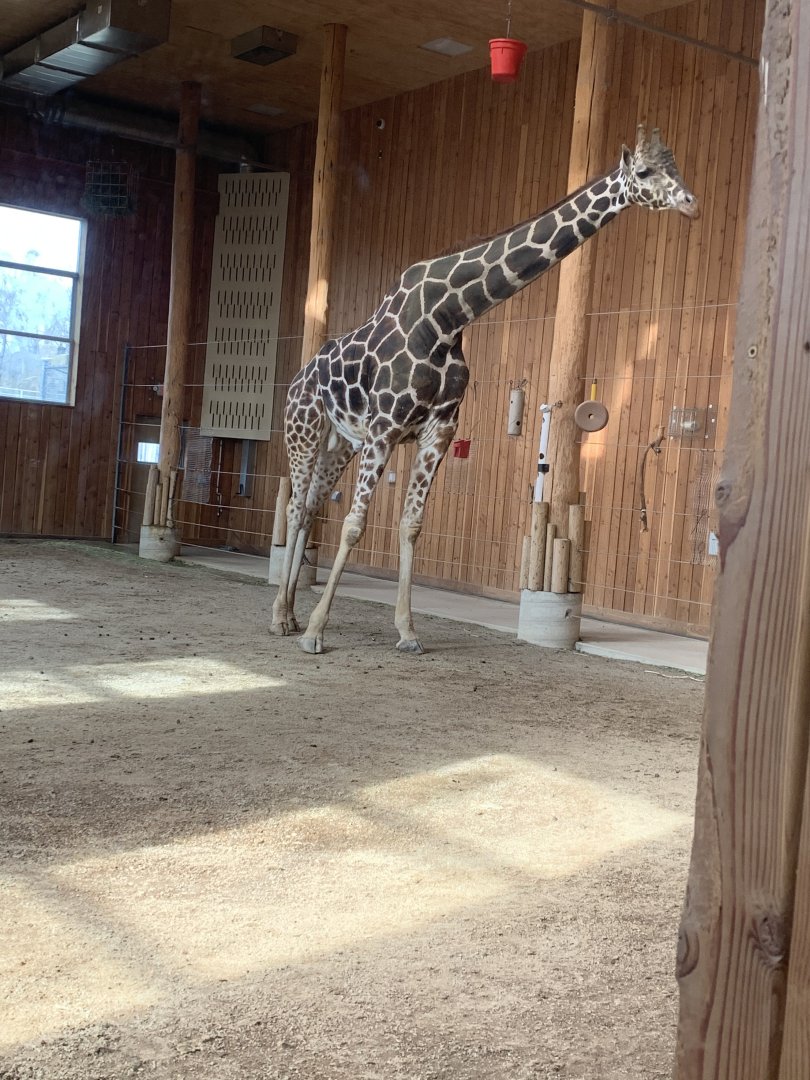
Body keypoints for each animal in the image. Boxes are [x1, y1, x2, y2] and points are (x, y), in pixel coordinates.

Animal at [272, 126, 698, 654]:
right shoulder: (386, 425)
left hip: (340, 443)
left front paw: (407, 631)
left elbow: (411, 524)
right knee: (295, 507)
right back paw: (282, 617)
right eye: (643, 172)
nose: (690, 203)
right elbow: (353, 524)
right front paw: (316, 632)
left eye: (676, 166)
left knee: (311, 506)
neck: (449, 317)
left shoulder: (438, 428)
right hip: (305, 431)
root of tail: (296, 380)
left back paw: (290, 612)